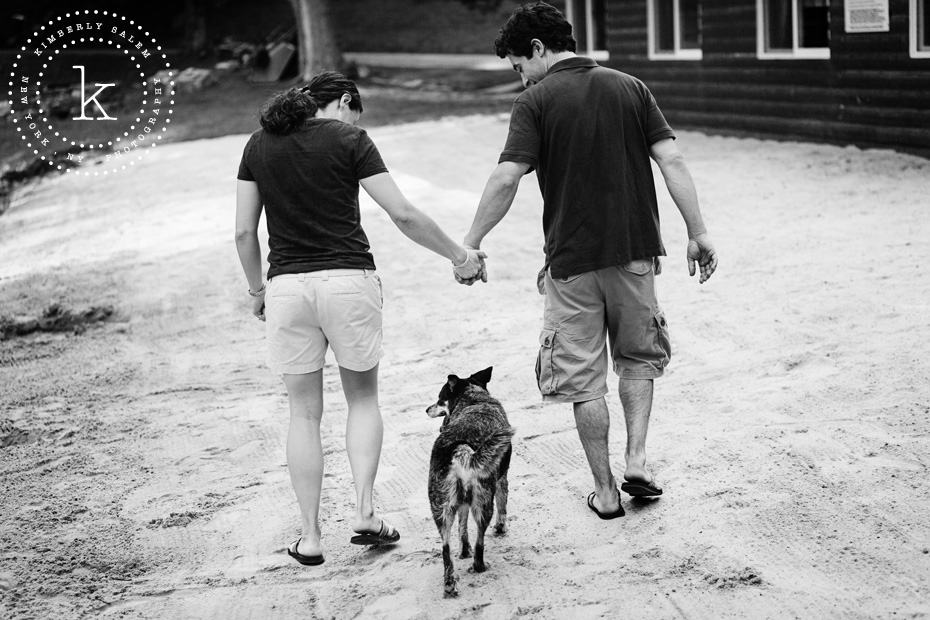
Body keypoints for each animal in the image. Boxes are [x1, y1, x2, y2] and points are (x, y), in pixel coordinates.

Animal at [424, 366, 512, 600]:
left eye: (439, 398)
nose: (427, 409)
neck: (473, 398)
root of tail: (460, 449)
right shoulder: (502, 478)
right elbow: (503, 506)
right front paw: (501, 528)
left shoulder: (461, 502)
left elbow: (462, 528)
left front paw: (464, 551)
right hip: (484, 499)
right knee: (481, 538)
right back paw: (479, 565)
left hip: (441, 506)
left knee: (445, 548)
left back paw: (449, 584)